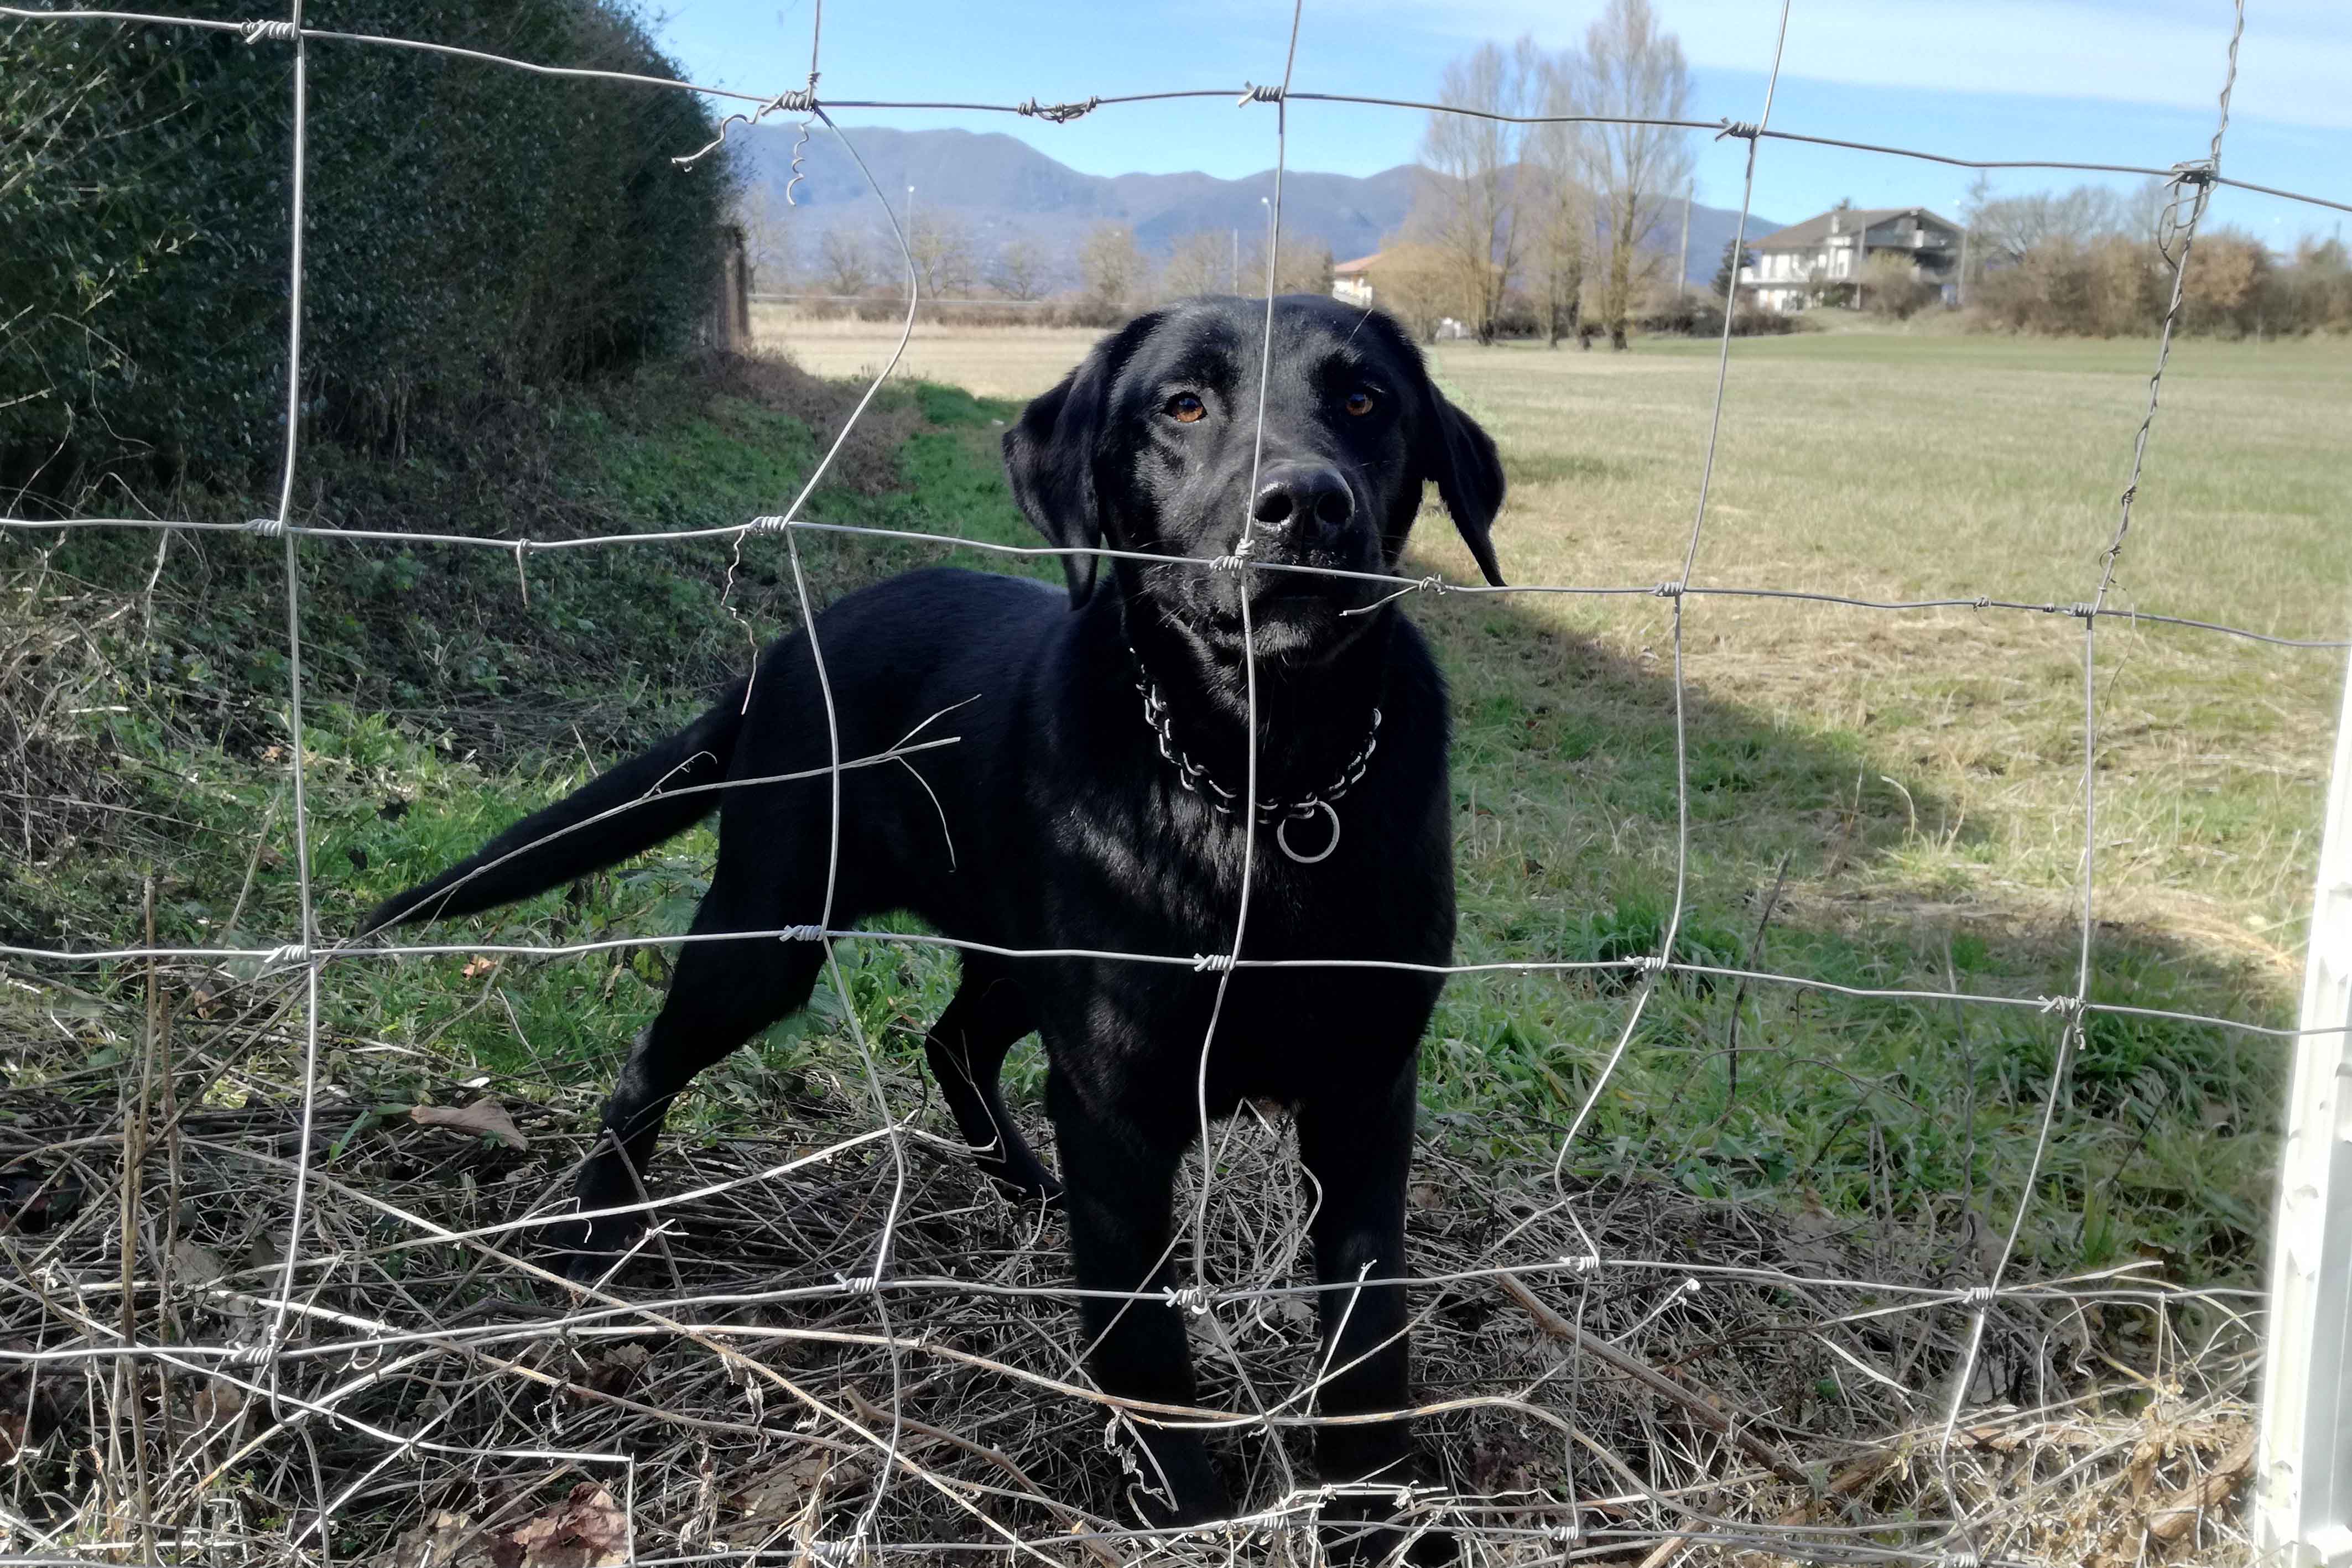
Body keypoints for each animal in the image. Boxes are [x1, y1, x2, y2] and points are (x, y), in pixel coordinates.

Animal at [362, 294, 1505, 1554]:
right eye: (1182, 405)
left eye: (1363, 400)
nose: (1304, 503)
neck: (1266, 786)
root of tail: (782, 653)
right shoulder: (1117, 1099)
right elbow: (1144, 1337)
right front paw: (1185, 1507)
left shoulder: (1364, 1093)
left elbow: (1367, 1334)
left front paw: (1377, 1514)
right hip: (766, 936)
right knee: (652, 1060)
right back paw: (595, 1232)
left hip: (1010, 958)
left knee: (951, 1042)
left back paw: (1023, 1187)